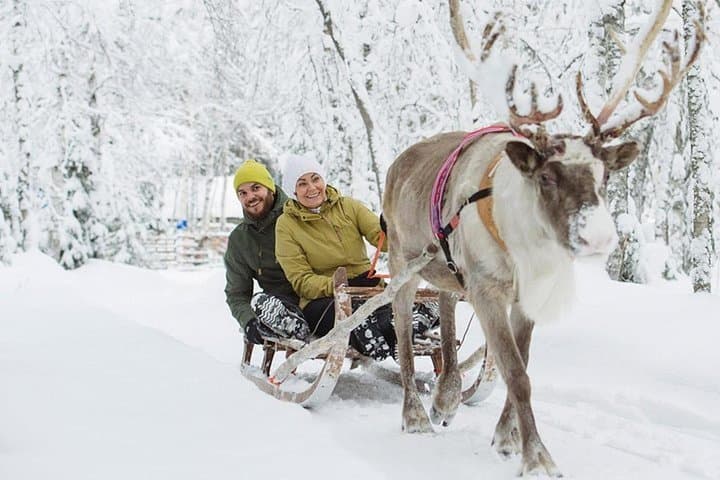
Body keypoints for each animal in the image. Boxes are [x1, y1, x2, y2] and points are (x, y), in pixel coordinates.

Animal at [382, 2, 704, 476]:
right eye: (548, 176)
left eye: (604, 176)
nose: (598, 237)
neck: (525, 251)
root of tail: (398, 163)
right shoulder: (488, 288)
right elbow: (517, 374)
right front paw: (537, 456)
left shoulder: (529, 293)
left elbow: (521, 362)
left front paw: (506, 438)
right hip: (402, 262)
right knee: (403, 331)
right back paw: (416, 414)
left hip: (447, 267)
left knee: (445, 303)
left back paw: (447, 396)